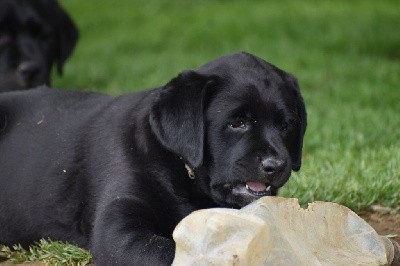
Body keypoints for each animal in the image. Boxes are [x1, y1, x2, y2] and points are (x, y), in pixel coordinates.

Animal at [0, 52, 308, 266]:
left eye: (286, 125)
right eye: (237, 123)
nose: (276, 165)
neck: (179, 171)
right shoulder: (118, 229)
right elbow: (169, 251)